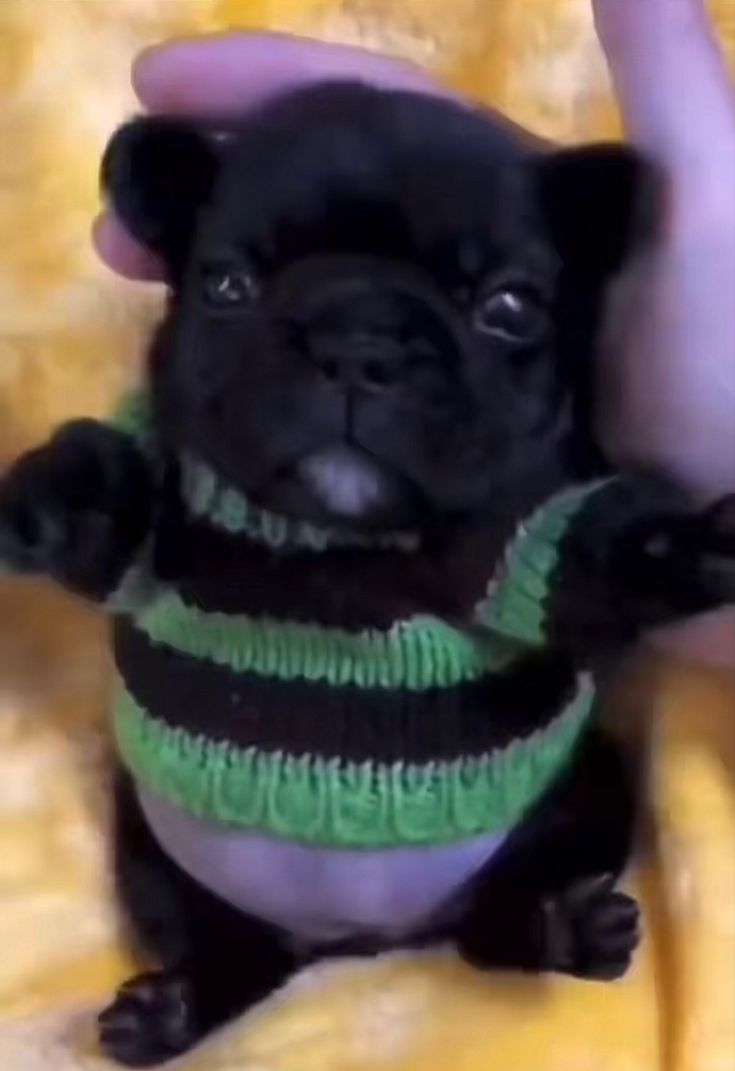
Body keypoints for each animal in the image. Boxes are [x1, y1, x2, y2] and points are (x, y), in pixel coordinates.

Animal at [1, 83, 735, 1062]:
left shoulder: (525, 543)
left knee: (486, 932)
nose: (357, 343)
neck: (343, 543)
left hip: (589, 796)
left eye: (509, 306)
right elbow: (97, 518)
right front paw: (49, 496)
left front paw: (698, 542)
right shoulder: (145, 536)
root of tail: (363, 943)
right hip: (148, 852)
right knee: (241, 960)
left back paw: (557, 926)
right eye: (226, 285)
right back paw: (175, 1010)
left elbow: (603, 554)